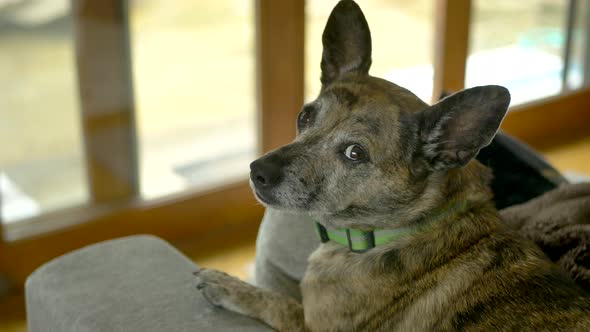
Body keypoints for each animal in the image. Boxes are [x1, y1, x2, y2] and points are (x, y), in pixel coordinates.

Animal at [195, 1, 590, 330]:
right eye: (305, 116)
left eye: (355, 153)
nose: (257, 171)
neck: (397, 229)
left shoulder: (311, 325)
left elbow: (281, 303)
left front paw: (229, 285)